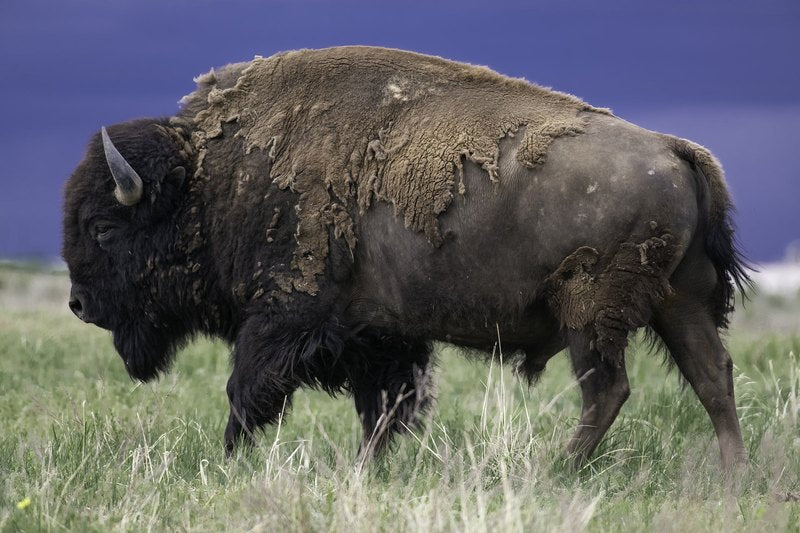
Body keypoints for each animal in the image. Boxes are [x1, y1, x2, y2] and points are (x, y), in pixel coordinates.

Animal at [62, 46, 749, 469]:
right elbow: (385, 411)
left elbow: (247, 394)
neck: (213, 180)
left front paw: (228, 461)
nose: (78, 303)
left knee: (609, 391)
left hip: (592, 313)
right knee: (712, 379)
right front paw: (364, 471)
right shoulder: (381, 337)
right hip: (680, 301)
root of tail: (676, 149)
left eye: (102, 227)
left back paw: (554, 471)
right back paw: (731, 481)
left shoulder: (285, 319)